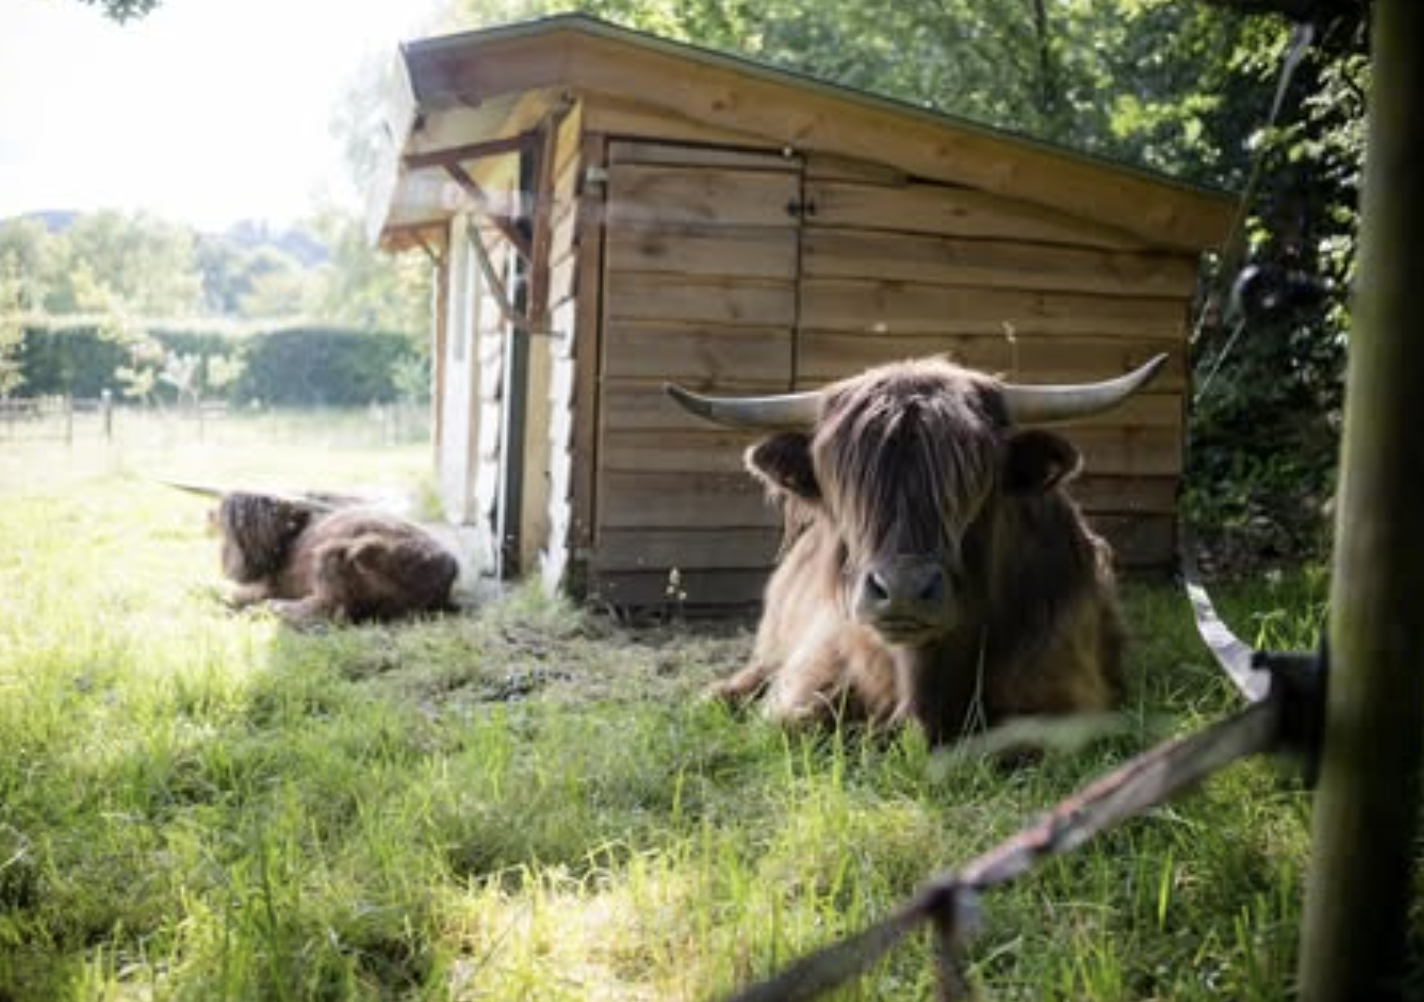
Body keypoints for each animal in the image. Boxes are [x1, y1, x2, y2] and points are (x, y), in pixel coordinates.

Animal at [203, 490, 460, 626]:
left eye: (226, 534)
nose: (223, 562)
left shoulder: (266, 586)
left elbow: (236, 593)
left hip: (336, 551)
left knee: (331, 609)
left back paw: (276, 609)